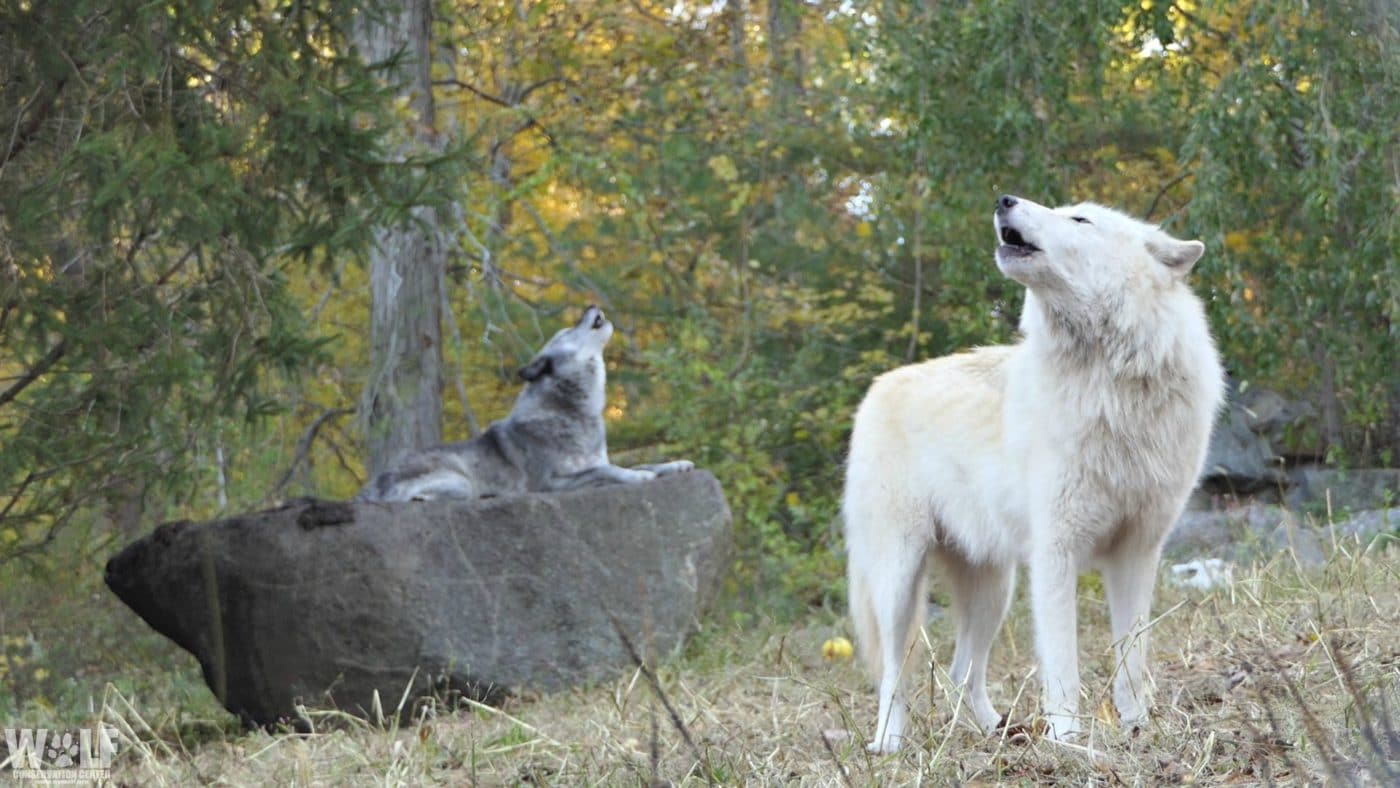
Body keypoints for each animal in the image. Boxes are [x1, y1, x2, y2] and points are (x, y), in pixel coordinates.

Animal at [358, 305, 693, 502]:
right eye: (566, 331)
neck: (570, 411)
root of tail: (368, 489)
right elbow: (608, 471)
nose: (590, 306)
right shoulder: (551, 483)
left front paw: (676, 464)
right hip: (460, 482)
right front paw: (638, 477)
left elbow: (639, 462)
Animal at [844, 195, 1224, 752]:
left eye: (1080, 219)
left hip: (993, 591)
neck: (1107, 384)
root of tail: (877, 386)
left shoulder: (1136, 553)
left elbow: (1131, 657)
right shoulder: (1054, 555)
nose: (1004, 199)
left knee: (962, 671)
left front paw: (1136, 728)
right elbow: (1063, 666)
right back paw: (890, 744)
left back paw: (999, 733)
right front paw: (1068, 740)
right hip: (899, 579)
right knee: (896, 672)